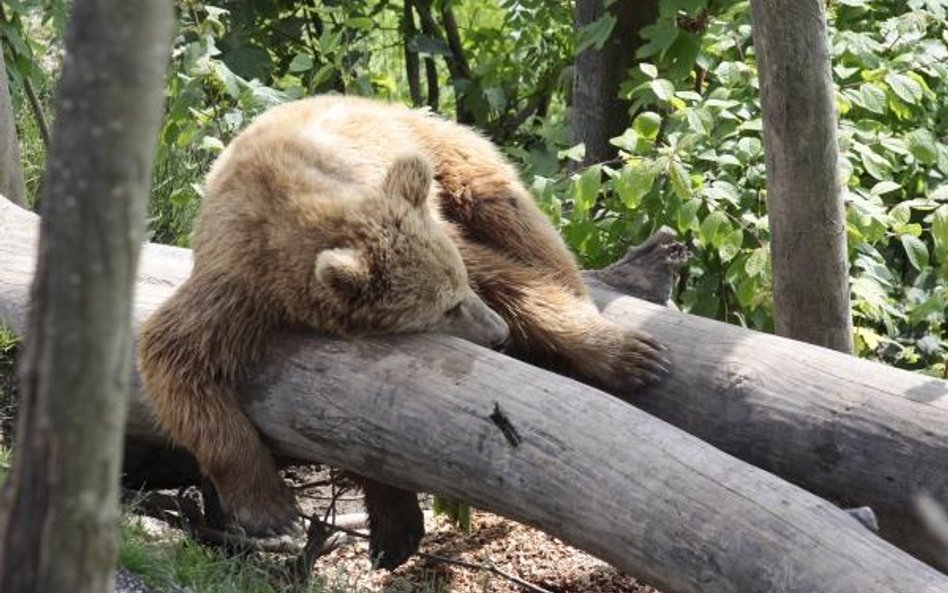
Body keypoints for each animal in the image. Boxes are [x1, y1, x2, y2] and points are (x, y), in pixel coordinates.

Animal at [137, 96, 664, 568]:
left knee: (522, 224)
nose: (496, 334)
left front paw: (629, 355)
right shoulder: (237, 290)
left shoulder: (429, 230)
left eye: (459, 291)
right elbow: (175, 358)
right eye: (447, 308)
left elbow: (510, 279)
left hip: (445, 155)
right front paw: (279, 514)